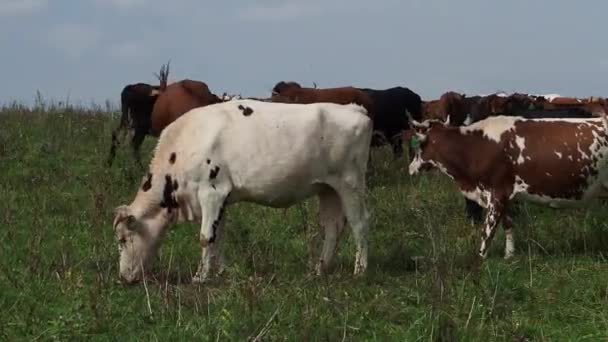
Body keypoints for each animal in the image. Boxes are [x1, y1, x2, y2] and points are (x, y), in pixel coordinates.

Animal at [111, 99, 372, 284]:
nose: (123, 277)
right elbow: (219, 237)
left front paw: (200, 277)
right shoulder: (220, 199)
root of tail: (355, 109)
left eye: (123, 239)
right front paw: (222, 272)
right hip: (327, 189)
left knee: (360, 224)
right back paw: (319, 269)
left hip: (351, 184)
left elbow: (205, 237)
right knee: (332, 227)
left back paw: (360, 270)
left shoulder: (211, 192)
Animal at [404, 114, 608, 260]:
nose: (410, 168)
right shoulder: (505, 195)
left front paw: (480, 259)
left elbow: (488, 231)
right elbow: (508, 224)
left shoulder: (496, 193)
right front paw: (509, 256)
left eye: (419, 146)